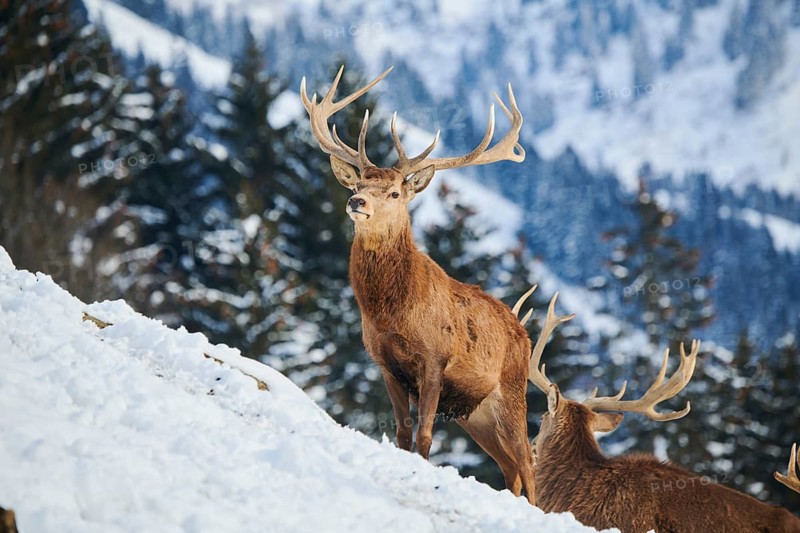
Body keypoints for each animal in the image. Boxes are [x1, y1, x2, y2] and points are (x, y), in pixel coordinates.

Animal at [299, 66, 541, 502]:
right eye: (358, 184)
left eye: (395, 191)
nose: (357, 202)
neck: (391, 313)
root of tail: (523, 334)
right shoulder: (385, 364)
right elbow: (401, 432)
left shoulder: (434, 360)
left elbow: (426, 435)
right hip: (474, 414)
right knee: (510, 468)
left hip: (512, 393)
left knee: (527, 464)